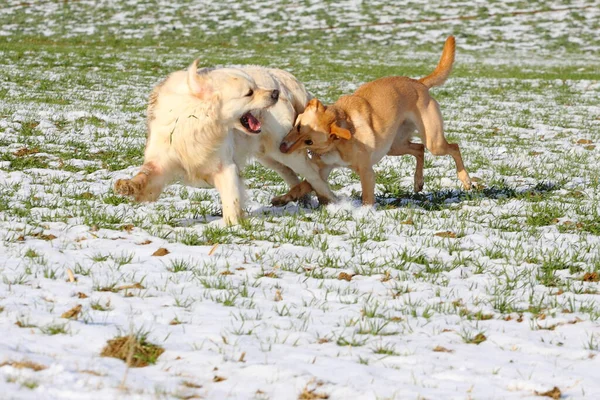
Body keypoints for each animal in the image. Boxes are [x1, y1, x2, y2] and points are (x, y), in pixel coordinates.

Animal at [113, 59, 338, 223]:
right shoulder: (162, 159)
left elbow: (231, 197)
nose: (274, 93)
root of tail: (279, 77)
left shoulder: (225, 166)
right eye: (249, 92)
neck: (197, 121)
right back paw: (299, 198)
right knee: (292, 175)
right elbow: (146, 174)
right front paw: (128, 186)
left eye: (255, 87)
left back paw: (331, 201)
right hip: (268, 155)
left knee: (315, 175)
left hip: (285, 150)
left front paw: (233, 225)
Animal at [274, 36, 474, 206]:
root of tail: (419, 83)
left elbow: (367, 198)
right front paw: (283, 199)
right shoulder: (323, 169)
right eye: (297, 126)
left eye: (309, 141)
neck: (338, 141)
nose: (282, 147)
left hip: (434, 141)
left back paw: (466, 180)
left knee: (453, 147)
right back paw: (418, 182)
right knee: (419, 149)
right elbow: (302, 185)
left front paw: (366, 213)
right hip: (394, 146)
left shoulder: (366, 172)